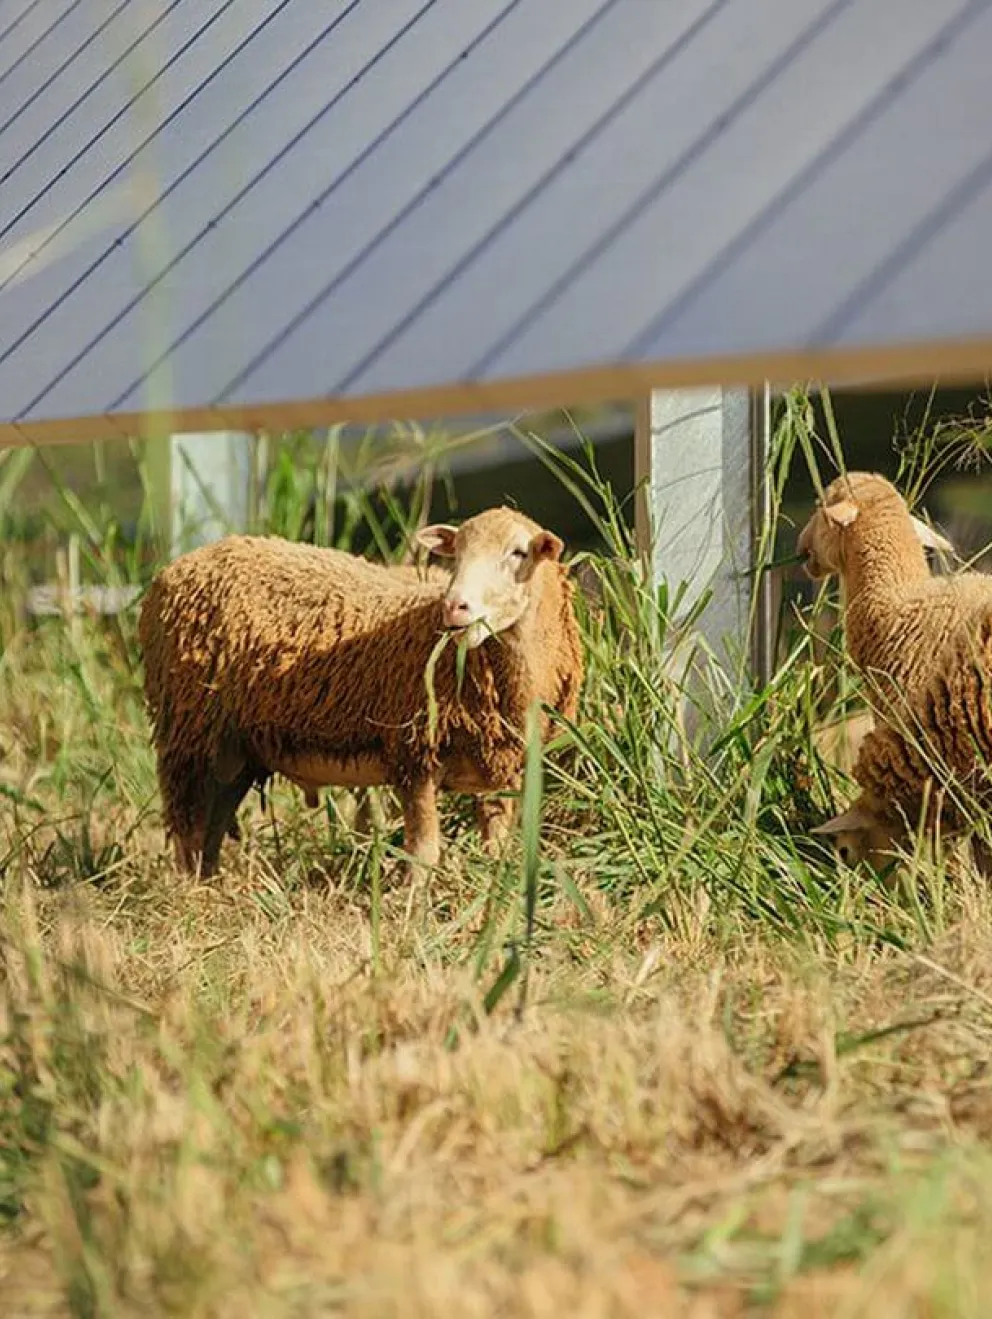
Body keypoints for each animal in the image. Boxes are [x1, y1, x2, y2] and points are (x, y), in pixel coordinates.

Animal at [138, 507, 583, 876]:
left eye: (518, 553)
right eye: (456, 553)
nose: (455, 606)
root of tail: (176, 567)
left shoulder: (500, 767)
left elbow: (496, 846)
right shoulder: (414, 754)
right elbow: (424, 854)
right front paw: (412, 912)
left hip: (236, 750)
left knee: (211, 829)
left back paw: (211, 887)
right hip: (189, 732)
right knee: (188, 829)